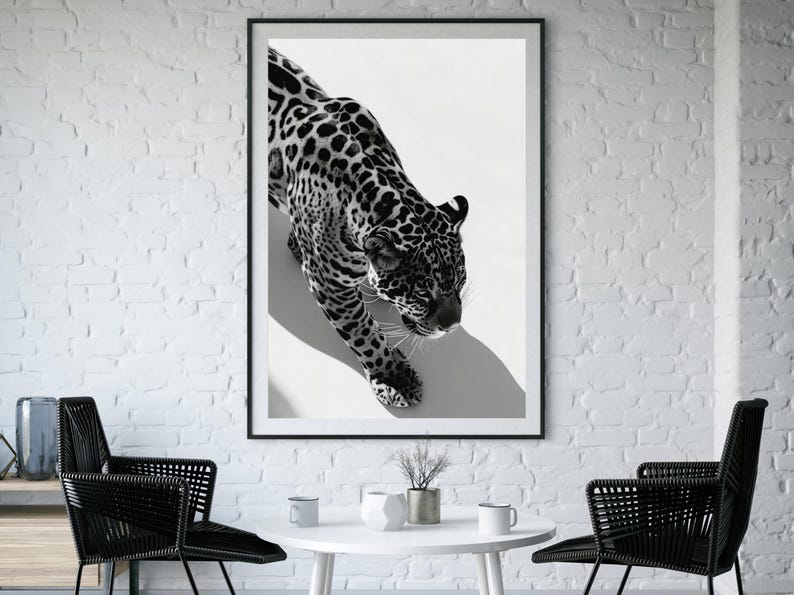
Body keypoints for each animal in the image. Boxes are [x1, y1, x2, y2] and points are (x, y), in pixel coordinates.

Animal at [267, 47, 469, 408]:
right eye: (422, 292)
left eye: (460, 280)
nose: (453, 325)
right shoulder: (329, 283)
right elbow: (363, 333)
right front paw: (395, 378)